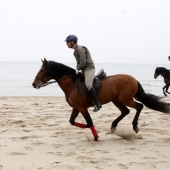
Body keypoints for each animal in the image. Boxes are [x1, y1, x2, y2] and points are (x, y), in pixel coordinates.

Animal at [32, 58, 170, 141]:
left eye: (42, 70)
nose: (34, 84)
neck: (72, 85)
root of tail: (134, 79)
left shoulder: (82, 107)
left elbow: (89, 122)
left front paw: (96, 136)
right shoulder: (76, 107)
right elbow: (72, 121)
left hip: (125, 99)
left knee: (139, 107)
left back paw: (134, 126)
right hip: (116, 100)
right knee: (125, 111)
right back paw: (113, 127)